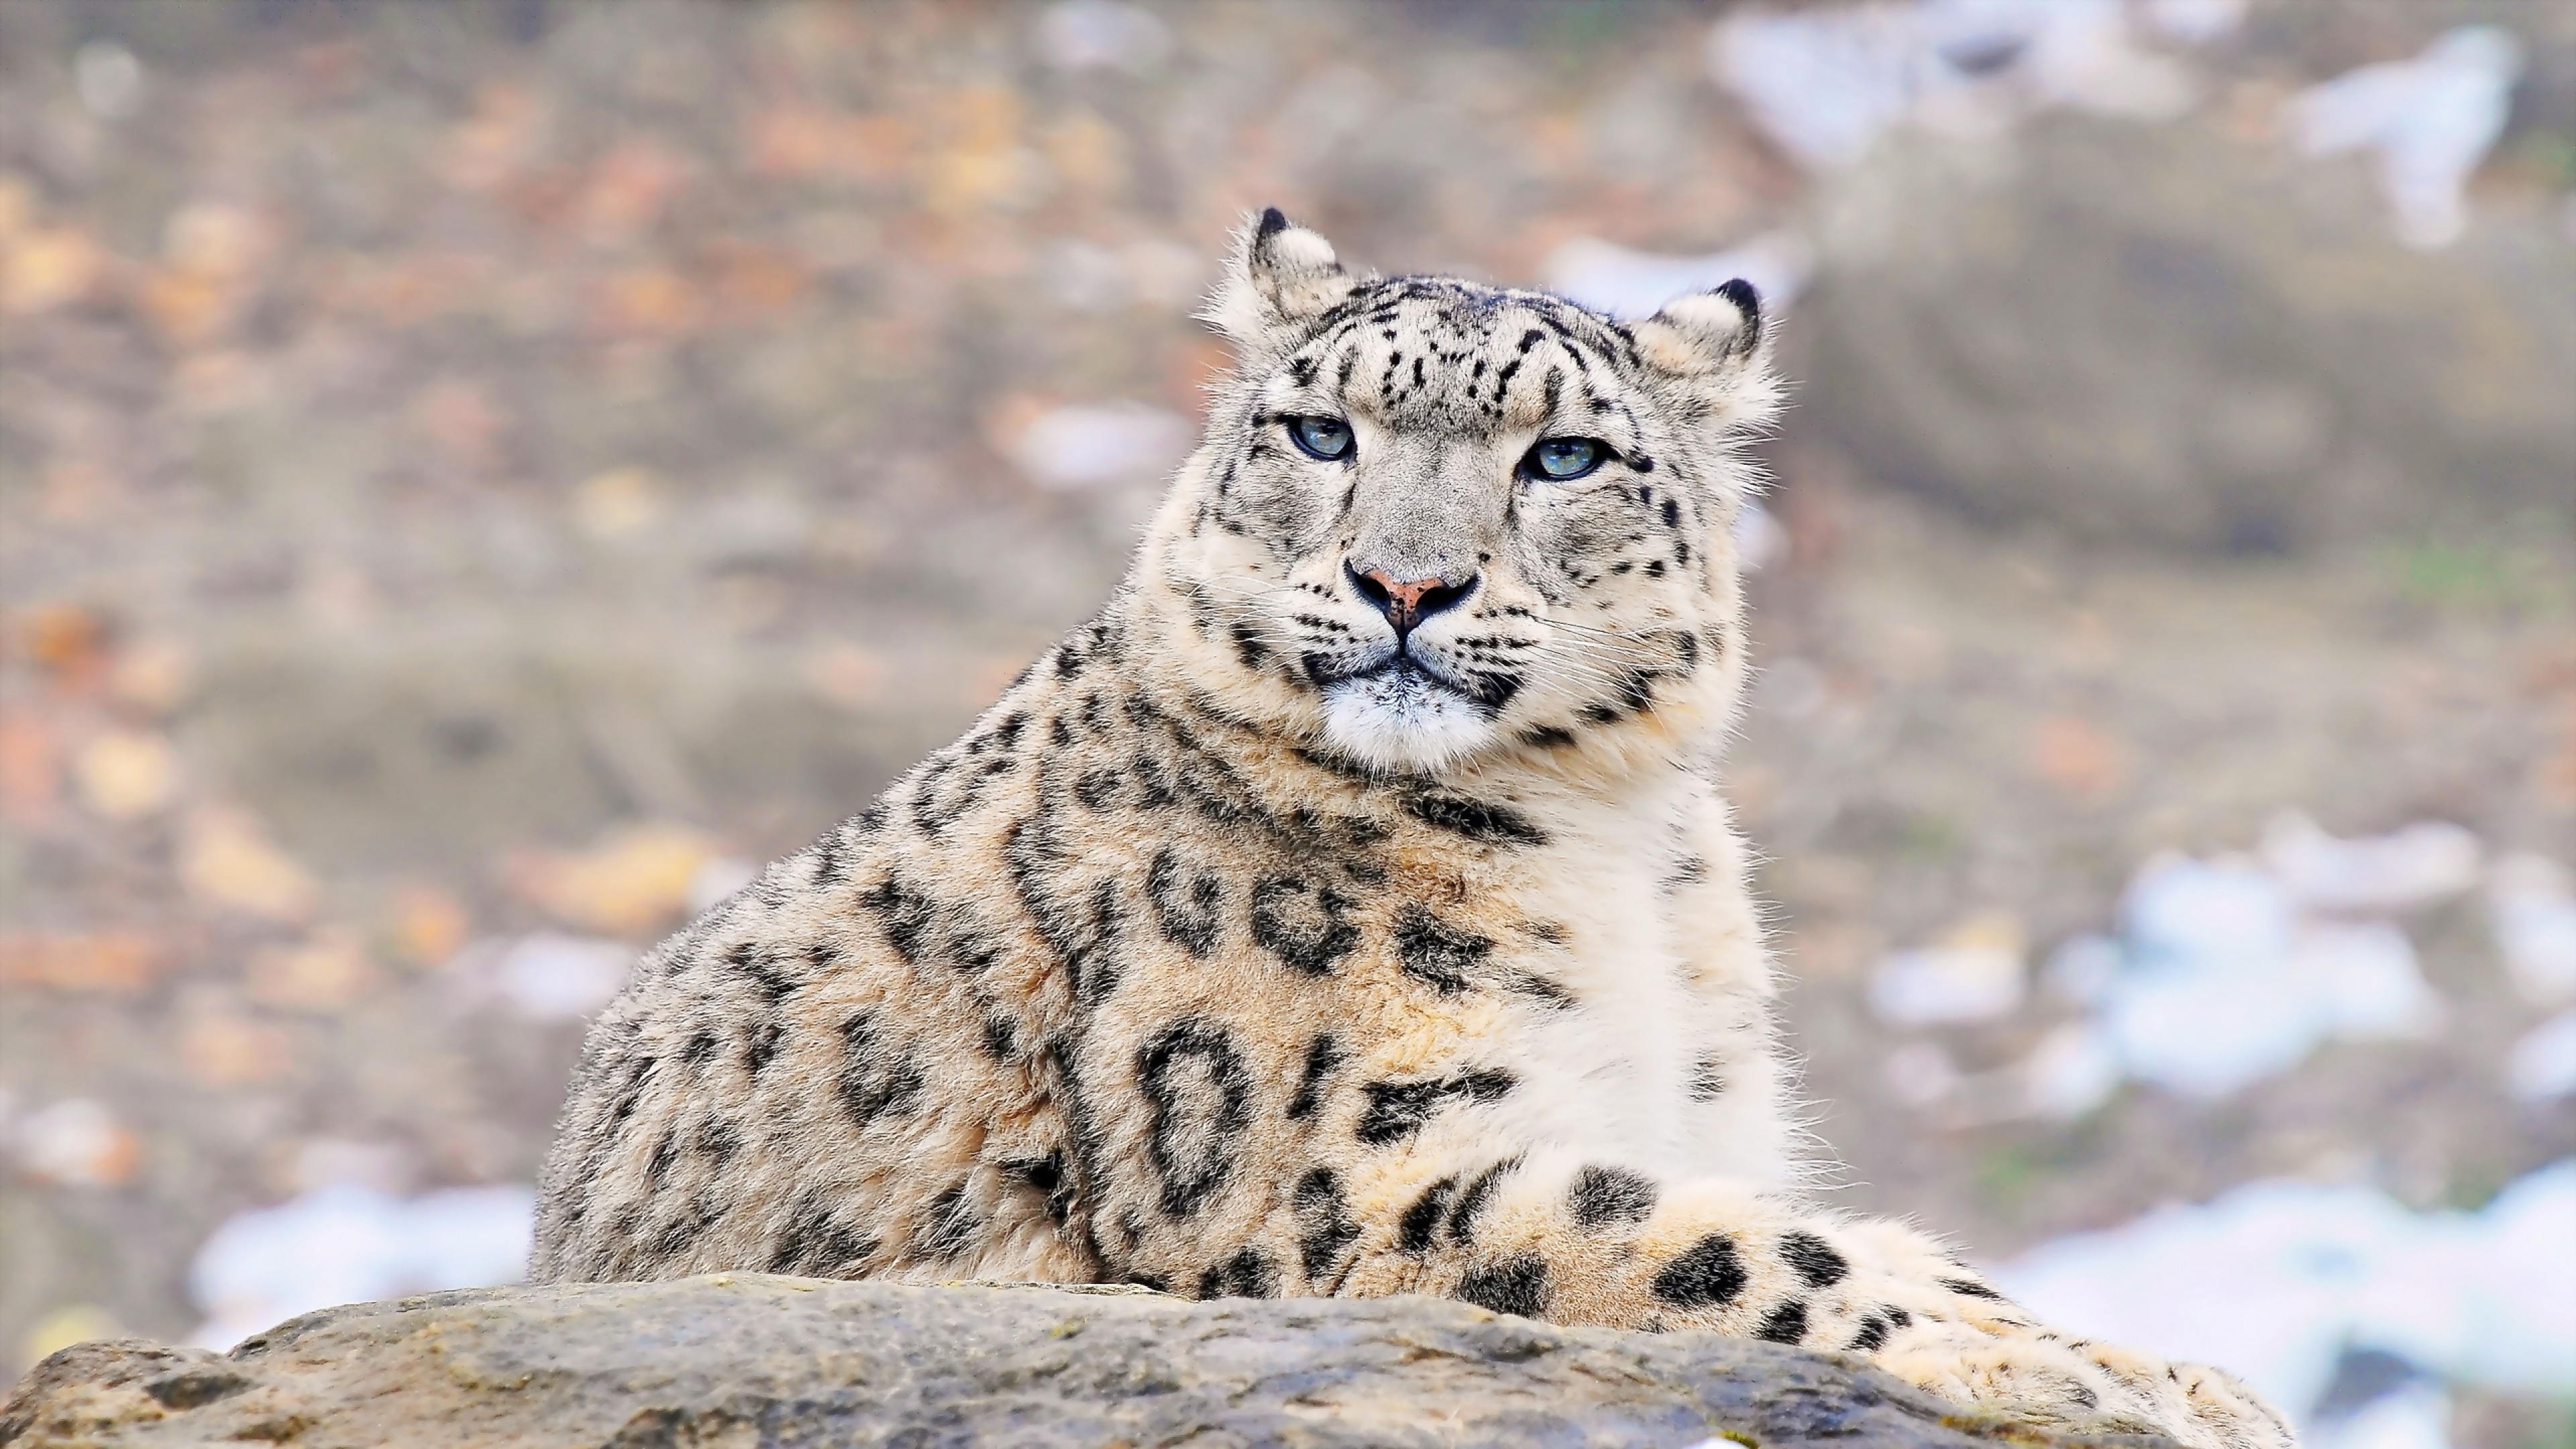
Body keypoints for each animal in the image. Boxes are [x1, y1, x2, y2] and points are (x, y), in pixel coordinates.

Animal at [528, 206, 2298, 1444]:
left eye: (1564, 454)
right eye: (1324, 432)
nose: (1403, 582)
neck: (1611, 851)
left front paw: (2164, 1369)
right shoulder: (1332, 1183)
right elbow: (1734, 1248)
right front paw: (2107, 1375)